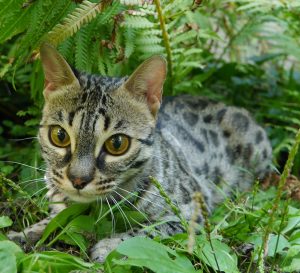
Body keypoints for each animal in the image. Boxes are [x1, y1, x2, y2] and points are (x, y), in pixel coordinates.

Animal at [8, 43, 274, 262]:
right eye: (59, 136)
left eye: (117, 144)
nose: (78, 180)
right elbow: (52, 220)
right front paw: (25, 233)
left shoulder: (191, 209)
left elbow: (148, 230)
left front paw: (111, 245)